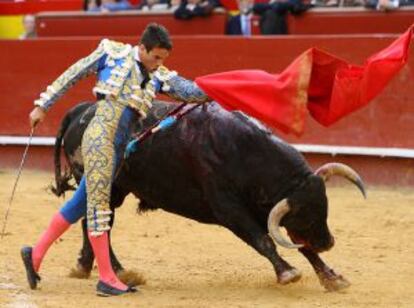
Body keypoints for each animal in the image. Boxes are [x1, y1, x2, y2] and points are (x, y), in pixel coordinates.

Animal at [52, 100, 366, 292]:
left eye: (324, 210)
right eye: (306, 216)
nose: (328, 242)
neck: (246, 152)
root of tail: (83, 109)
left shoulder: (269, 208)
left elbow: (300, 245)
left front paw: (333, 278)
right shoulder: (228, 210)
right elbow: (263, 239)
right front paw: (288, 273)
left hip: (115, 189)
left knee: (94, 222)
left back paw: (98, 268)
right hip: (102, 185)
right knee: (94, 221)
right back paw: (109, 270)